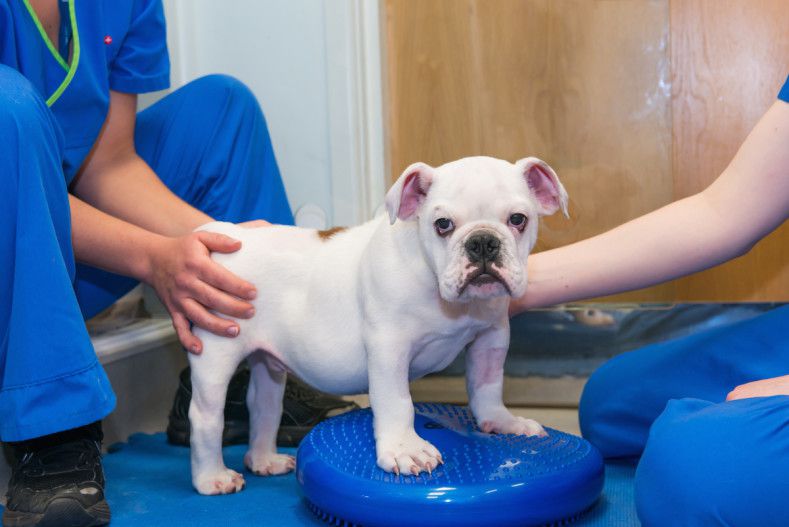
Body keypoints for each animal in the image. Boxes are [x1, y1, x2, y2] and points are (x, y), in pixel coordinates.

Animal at [189, 156, 568, 496]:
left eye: (518, 219)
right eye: (443, 224)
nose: (483, 242)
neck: (441, 292)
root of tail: (225, 234)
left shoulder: (492, 336)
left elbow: (488, 386)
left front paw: (503, 421)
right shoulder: (389, 347)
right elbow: (396, 401)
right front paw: (405, 450)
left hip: (267, 364)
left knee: (264, 405)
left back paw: (265, 460)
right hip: (216, 353)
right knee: (206, 417)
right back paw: (212, 478)